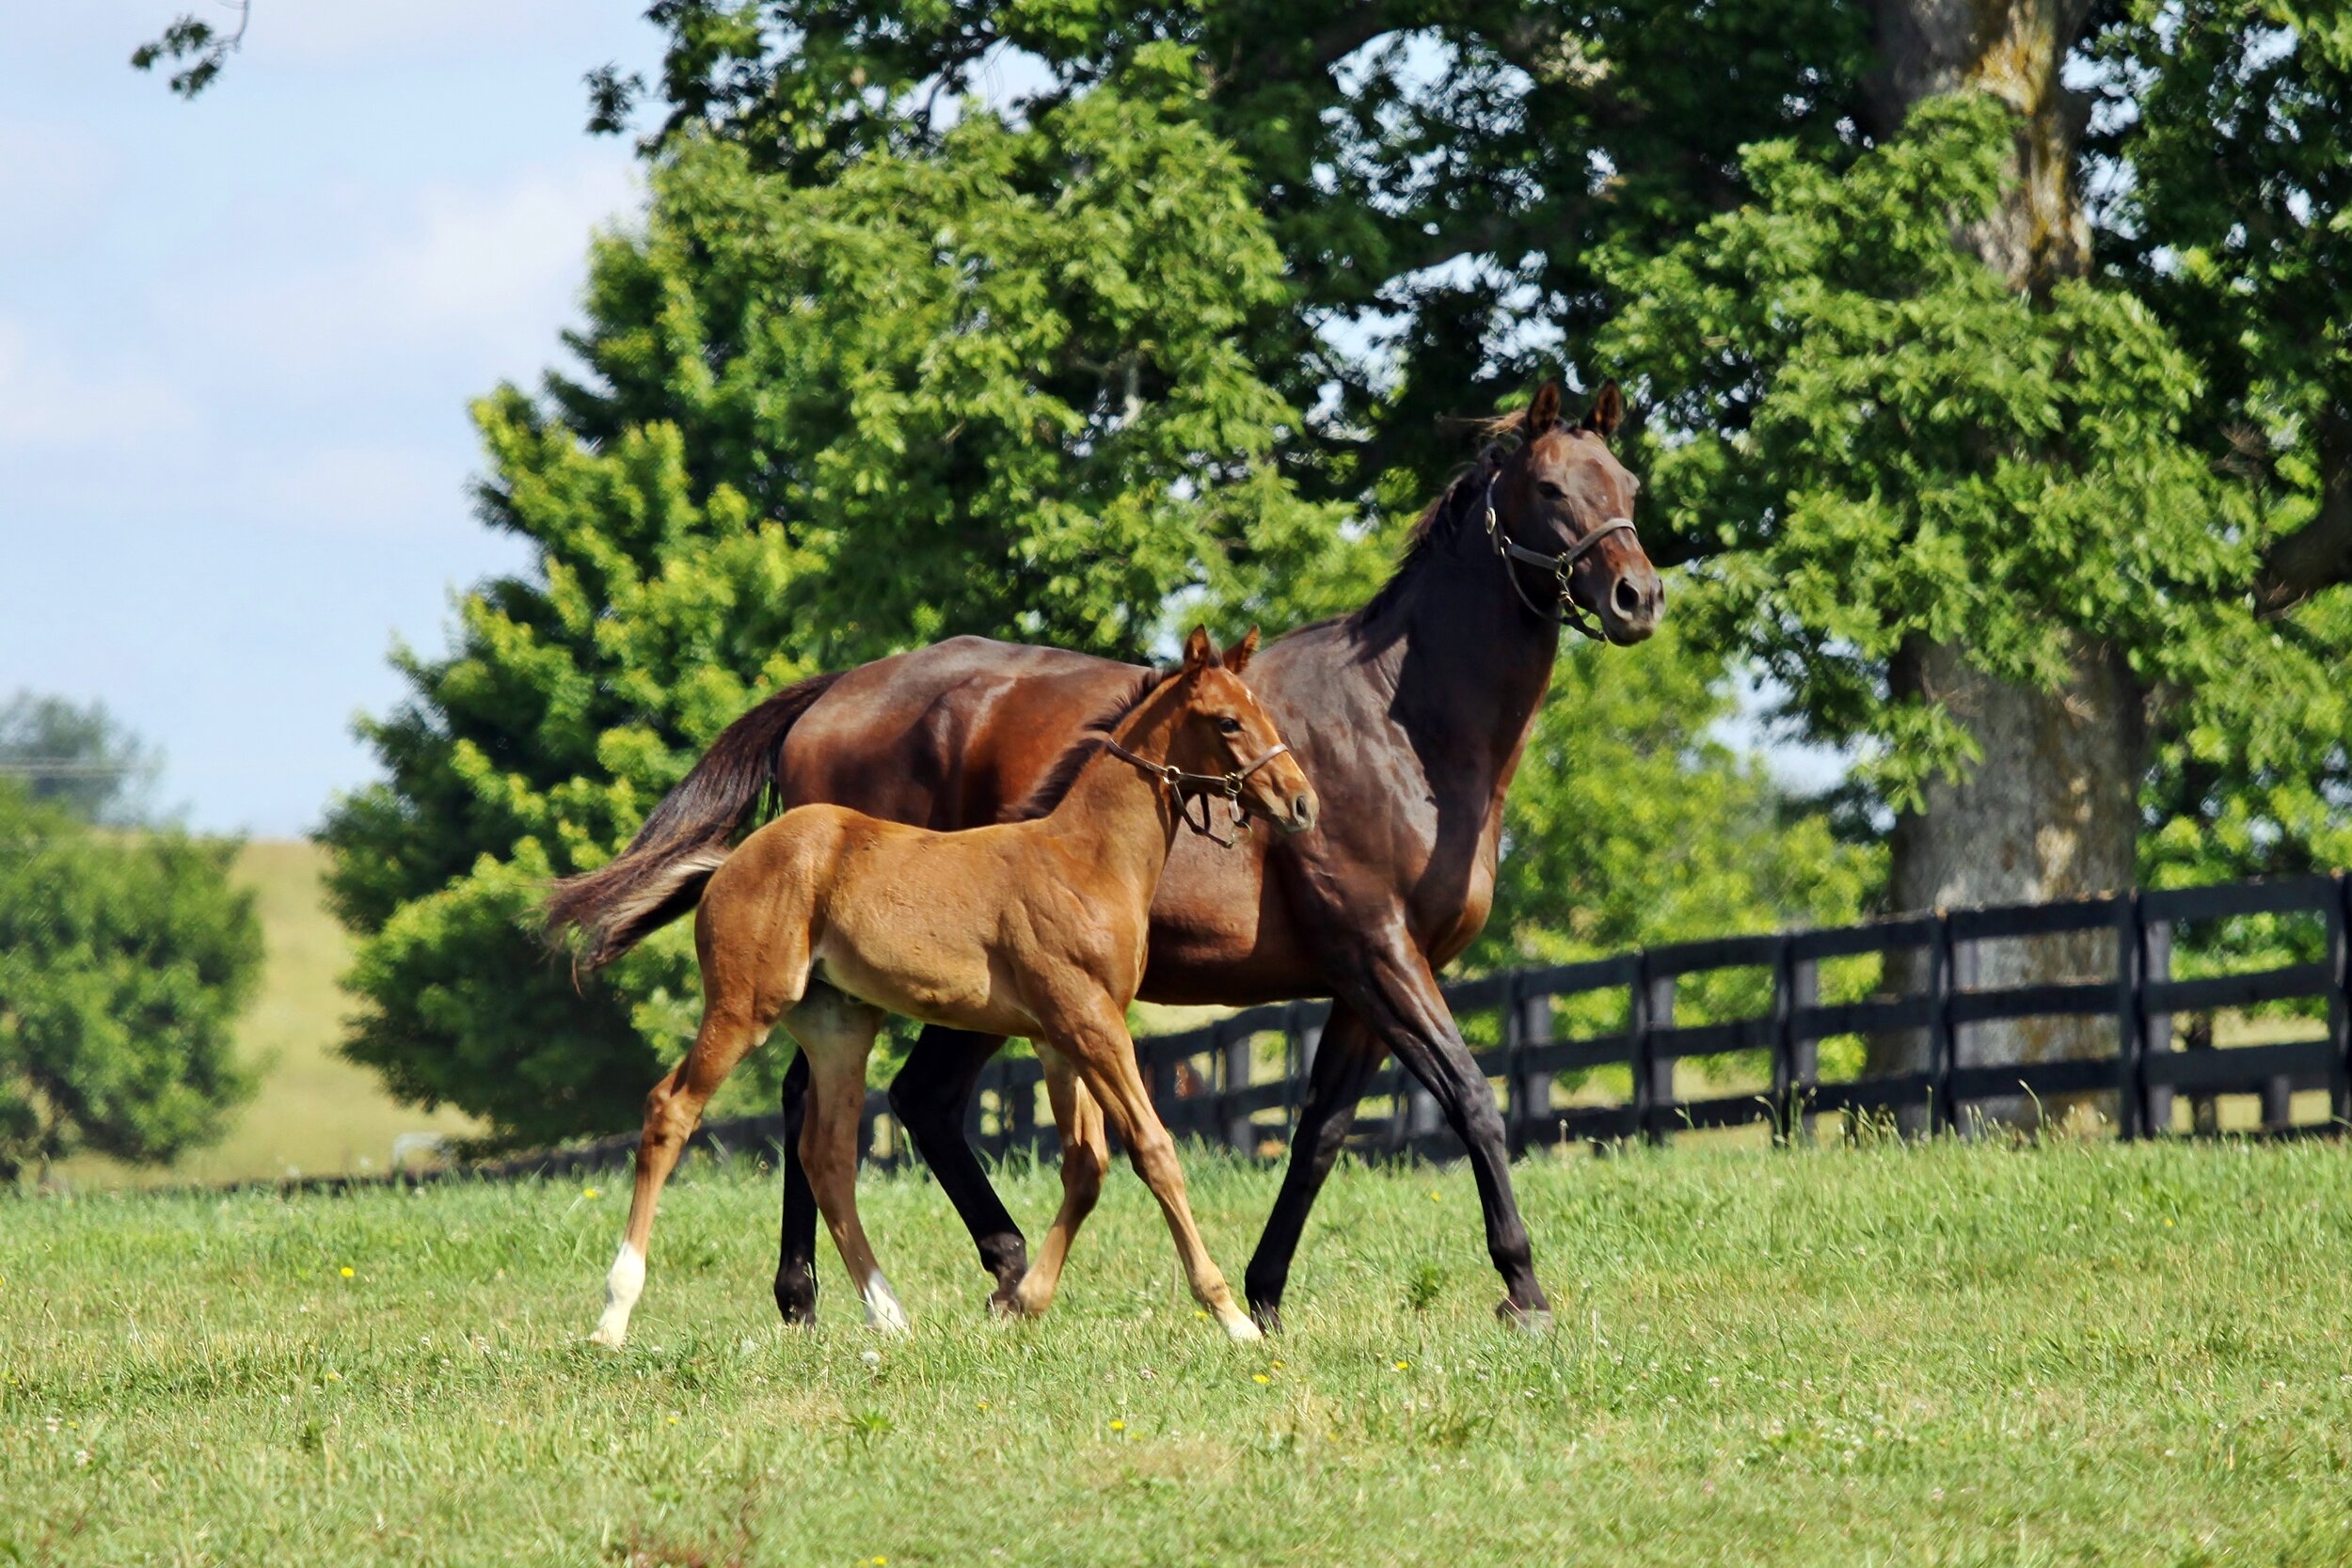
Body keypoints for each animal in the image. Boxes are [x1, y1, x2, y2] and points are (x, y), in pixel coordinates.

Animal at [585, 628, 1317, 1347]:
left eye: (1264, 712)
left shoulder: (1061, 1037)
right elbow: (1154, 1150)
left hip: (839, 1025)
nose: (1301, 801)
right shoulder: (1089, 1022)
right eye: (1227, 720)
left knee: (827, 1155)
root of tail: (731, 861)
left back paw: (889, 1314)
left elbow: (1086, 1166)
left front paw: (1023, 1301)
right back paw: (614, 1314)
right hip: (744, 1006)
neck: (1085, 859)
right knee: (671, 1110)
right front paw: (1232, 1317)